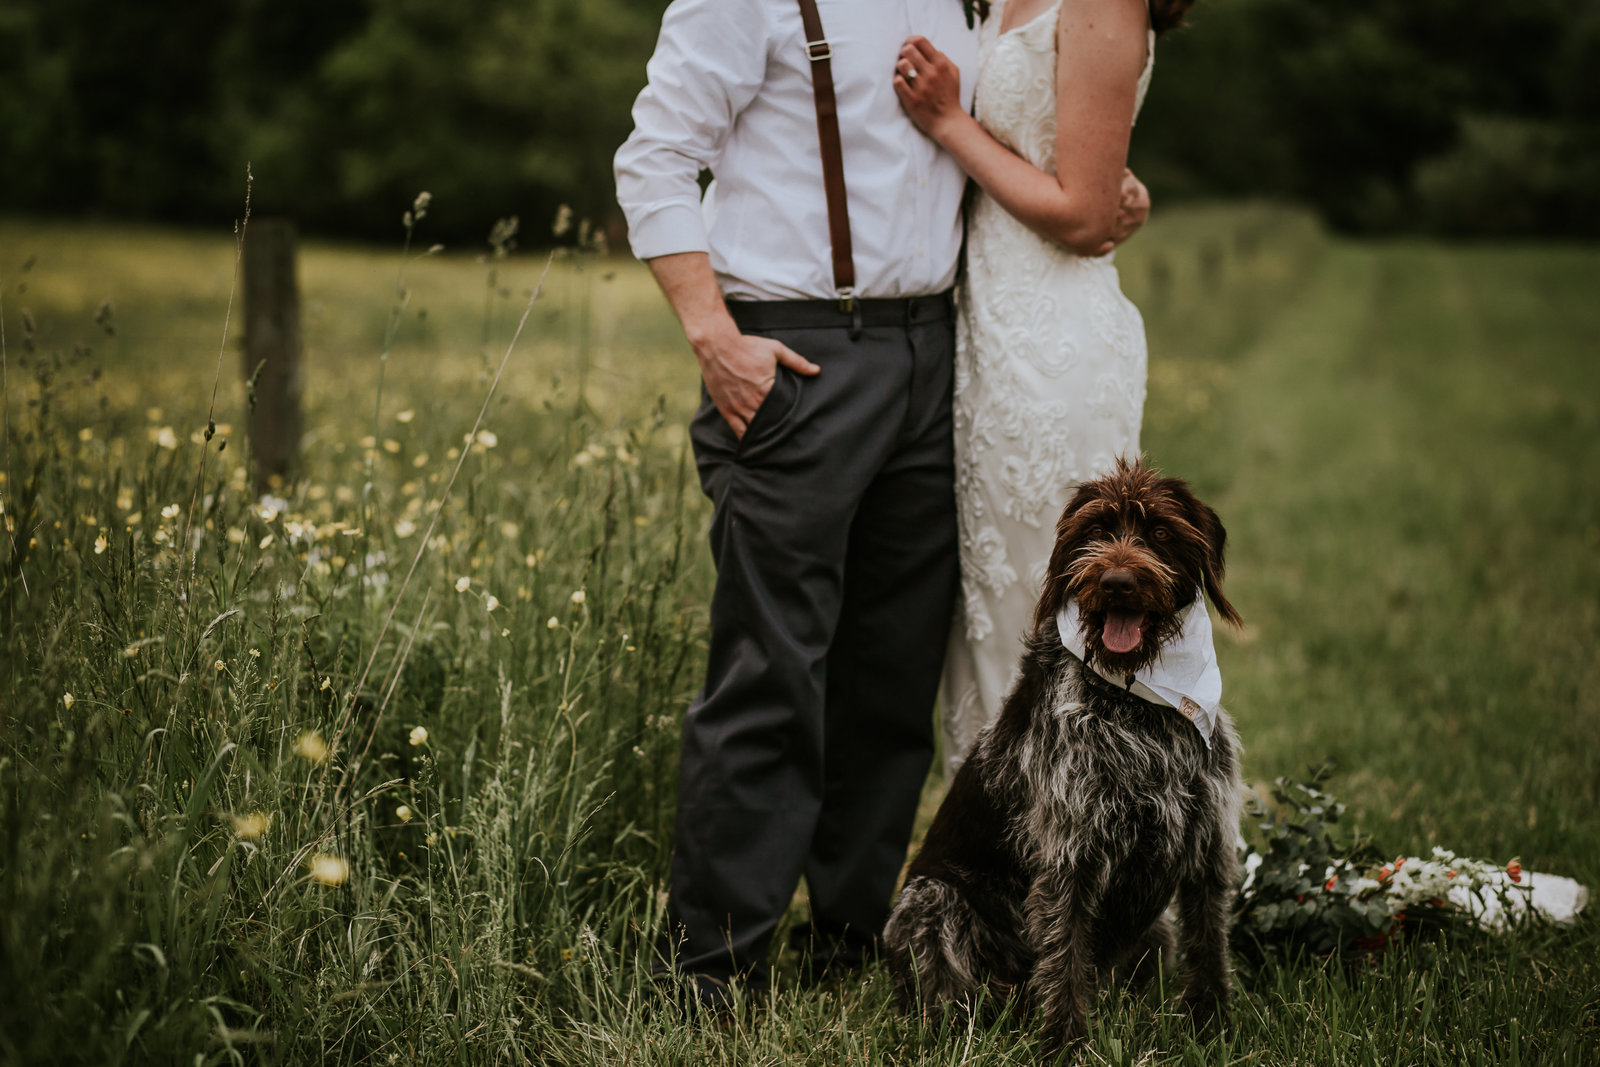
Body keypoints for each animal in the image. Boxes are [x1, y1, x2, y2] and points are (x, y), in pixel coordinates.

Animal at [883, 460, 1241, 1049]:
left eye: (1159, 532)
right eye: (1095, 530)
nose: (1116, 582)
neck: (1138, 699)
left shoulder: (1206, 842)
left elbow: (1209, 946)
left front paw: (1213, 1028)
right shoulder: (1070, 855)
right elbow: (1065, 957)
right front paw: (1065, 1044)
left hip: (1156, 930)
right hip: (930, 900)